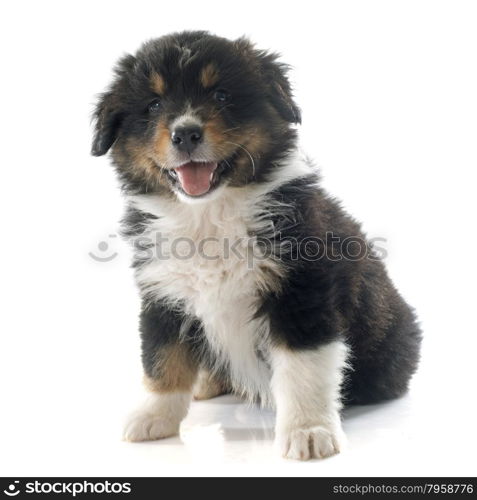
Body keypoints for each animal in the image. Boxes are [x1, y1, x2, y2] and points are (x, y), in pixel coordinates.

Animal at [90, 30, 420, 460]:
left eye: (222, 95)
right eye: (154, 104)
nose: (185, 133)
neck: (208, 216)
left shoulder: (301, 290)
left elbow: (302, 369)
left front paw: (308, 431)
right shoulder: (164, 294)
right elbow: (162, 360)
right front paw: (153, 417)